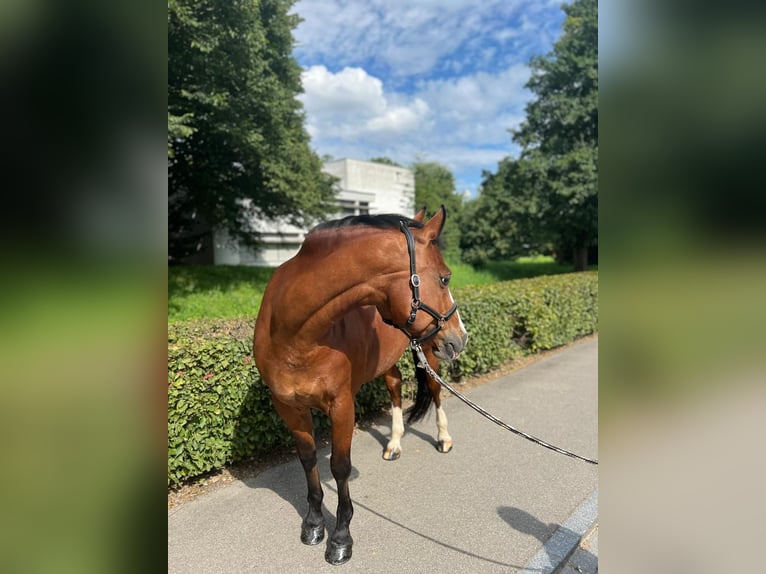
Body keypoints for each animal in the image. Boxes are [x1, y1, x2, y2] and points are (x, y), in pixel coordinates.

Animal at [255, 207, 468, 568]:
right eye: (445, 278)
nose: (461, 338)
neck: (293, 335)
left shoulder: (342, 405)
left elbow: (339, 466)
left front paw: (340, 539)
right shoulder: (289, 407)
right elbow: (308, 459)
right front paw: (314, 524)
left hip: (430, 352)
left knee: (437, 393)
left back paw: (443, 438)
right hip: (392, 360)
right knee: (395, 386)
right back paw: (394, 443)